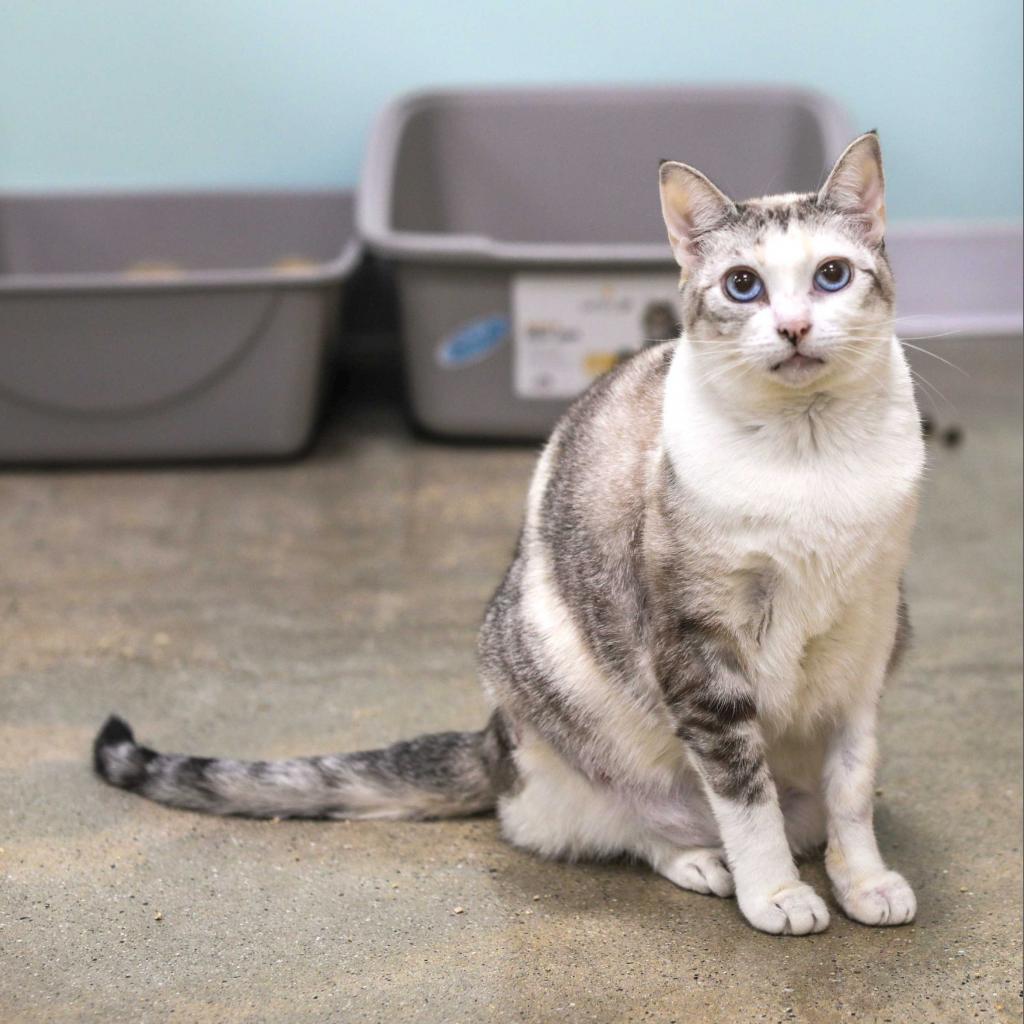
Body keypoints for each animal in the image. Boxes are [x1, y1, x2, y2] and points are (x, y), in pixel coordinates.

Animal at [97, 134, 929, 937]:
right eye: (743, 286)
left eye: (830, 276)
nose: (793, 327)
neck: (808, 451)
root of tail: (492, 738)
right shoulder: (699, 656)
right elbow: (743, 794)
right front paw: (776, 896)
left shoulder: (867, 642)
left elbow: (852, 786)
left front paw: (864, 882)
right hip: (564, 701)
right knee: (616, 823)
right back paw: (701, 860)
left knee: (804, 812)